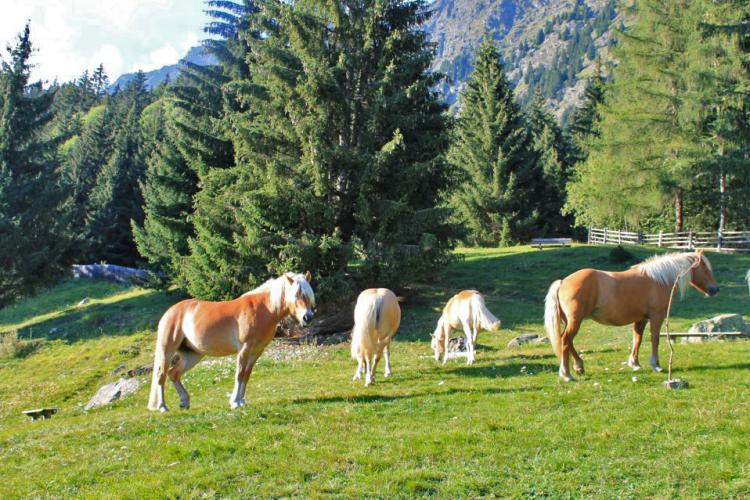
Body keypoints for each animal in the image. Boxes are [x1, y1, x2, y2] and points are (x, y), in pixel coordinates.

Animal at [148, 272, 316, 412]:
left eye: (309, 295)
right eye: (297, 295)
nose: (308, 317)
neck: (263, 309)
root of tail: (170, 312)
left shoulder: (256, 351)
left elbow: (246, 375)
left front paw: (242, 401)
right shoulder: (244, 348)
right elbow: (239, 374)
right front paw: (235, 402)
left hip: (193, 354)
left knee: (174, 373)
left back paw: (184, 402)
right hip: (167, 350)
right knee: (161, 375)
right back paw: (162, 407)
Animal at [548, 250, 724, 382]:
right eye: (706, 269)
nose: (715, 289)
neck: (659, 279)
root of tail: (562, 282)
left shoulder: (642, 318)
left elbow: (637, 339)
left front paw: (635, 363)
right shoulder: (657, 316)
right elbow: (654, 339)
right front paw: (656, 365)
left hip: (570, 322)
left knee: (567, 341)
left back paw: (578, 366)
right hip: (575, 321)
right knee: (565, 341)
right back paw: (567, 374)